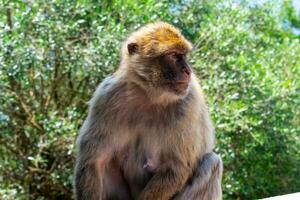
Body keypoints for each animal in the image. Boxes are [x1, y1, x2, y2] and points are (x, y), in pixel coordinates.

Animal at [74, 21, 221, 200]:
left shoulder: (188, 103)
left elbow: (176, 167)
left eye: (184, 56)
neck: (150, 95)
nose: (188, 71)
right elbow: (94, 161)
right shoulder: (106, 97)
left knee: (212, 162)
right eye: (174, 56)